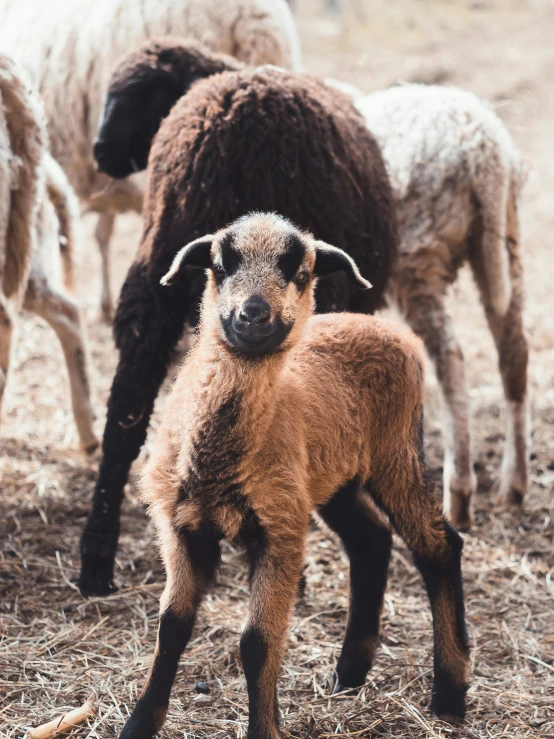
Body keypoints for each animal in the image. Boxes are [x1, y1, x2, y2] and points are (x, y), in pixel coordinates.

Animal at [78, 43, 396, 600]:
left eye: (139, 96)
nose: (100, 153)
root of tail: (239, 131)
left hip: (156, 270)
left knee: (125, 413)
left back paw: (95, 561)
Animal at [118, 212, 468, 739]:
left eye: (300, 273)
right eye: (220, 264)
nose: (253, 314)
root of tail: (390, 331)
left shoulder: (280, 531)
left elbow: (258, 642)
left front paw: (264, 728)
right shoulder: (181, 525)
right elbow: (172, 626)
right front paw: (139, 723)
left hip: (396, 454)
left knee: (440, 547)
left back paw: (449, 693)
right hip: (336, 478)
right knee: (371, 541)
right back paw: (349, 673)